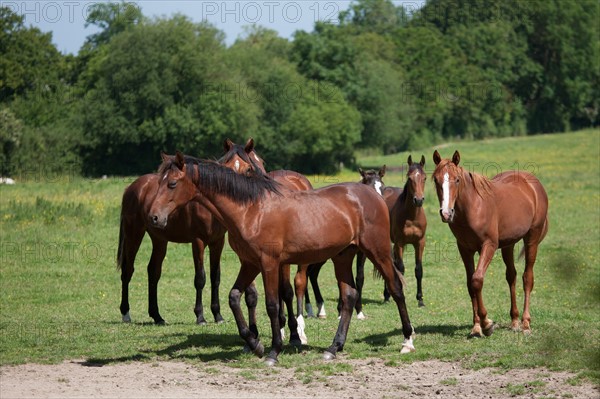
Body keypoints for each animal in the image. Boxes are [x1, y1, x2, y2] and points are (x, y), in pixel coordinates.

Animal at [118, 139, 264, 326]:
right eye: (227, 166)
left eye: (248, 168)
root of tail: (133, 186)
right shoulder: (198, 241)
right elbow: (200, 278)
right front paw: (200, 316)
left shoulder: (217, 242)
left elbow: (215, 277)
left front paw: (218, 315)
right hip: (134, 234)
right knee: (128, 269)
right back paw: (126, 313)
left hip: (159, 239)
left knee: (153, 271)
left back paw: (157, 316)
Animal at [148, 152, 414, 366]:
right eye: (158, 182)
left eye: (172, 183)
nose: (154, 217)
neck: (251, 210)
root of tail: (374, 195)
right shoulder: (250, 264)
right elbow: (234, 297)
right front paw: (255, 344)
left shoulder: (269, 264)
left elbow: (273, 305)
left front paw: (274, 351)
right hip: (342, 257)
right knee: (349, 296)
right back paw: (333, 348)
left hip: (377, 251)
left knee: (396, 288)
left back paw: (407, 341)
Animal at [432, 150, 548, 338]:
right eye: (436, 179)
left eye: (457, 179)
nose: (446, 213)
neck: (473, 207)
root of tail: (533, 183)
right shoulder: (465, 249)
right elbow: (470, 284)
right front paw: (476, 327)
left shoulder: (489, 246)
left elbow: (477, 280)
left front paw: (487, 324)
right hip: (508, 244)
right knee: (511, 276)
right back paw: (514, 321)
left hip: (532, 238)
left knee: (527, 278)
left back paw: (525, 324)